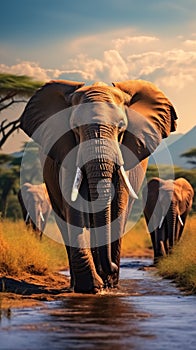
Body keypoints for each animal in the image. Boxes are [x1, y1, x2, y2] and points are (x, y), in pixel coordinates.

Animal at [19, 78, 178, 292]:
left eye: (121, 127)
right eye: (75, 127)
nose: (112, 267)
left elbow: (117, 208)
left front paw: (108, 285)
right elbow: (74, 208)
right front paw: (92, 287)